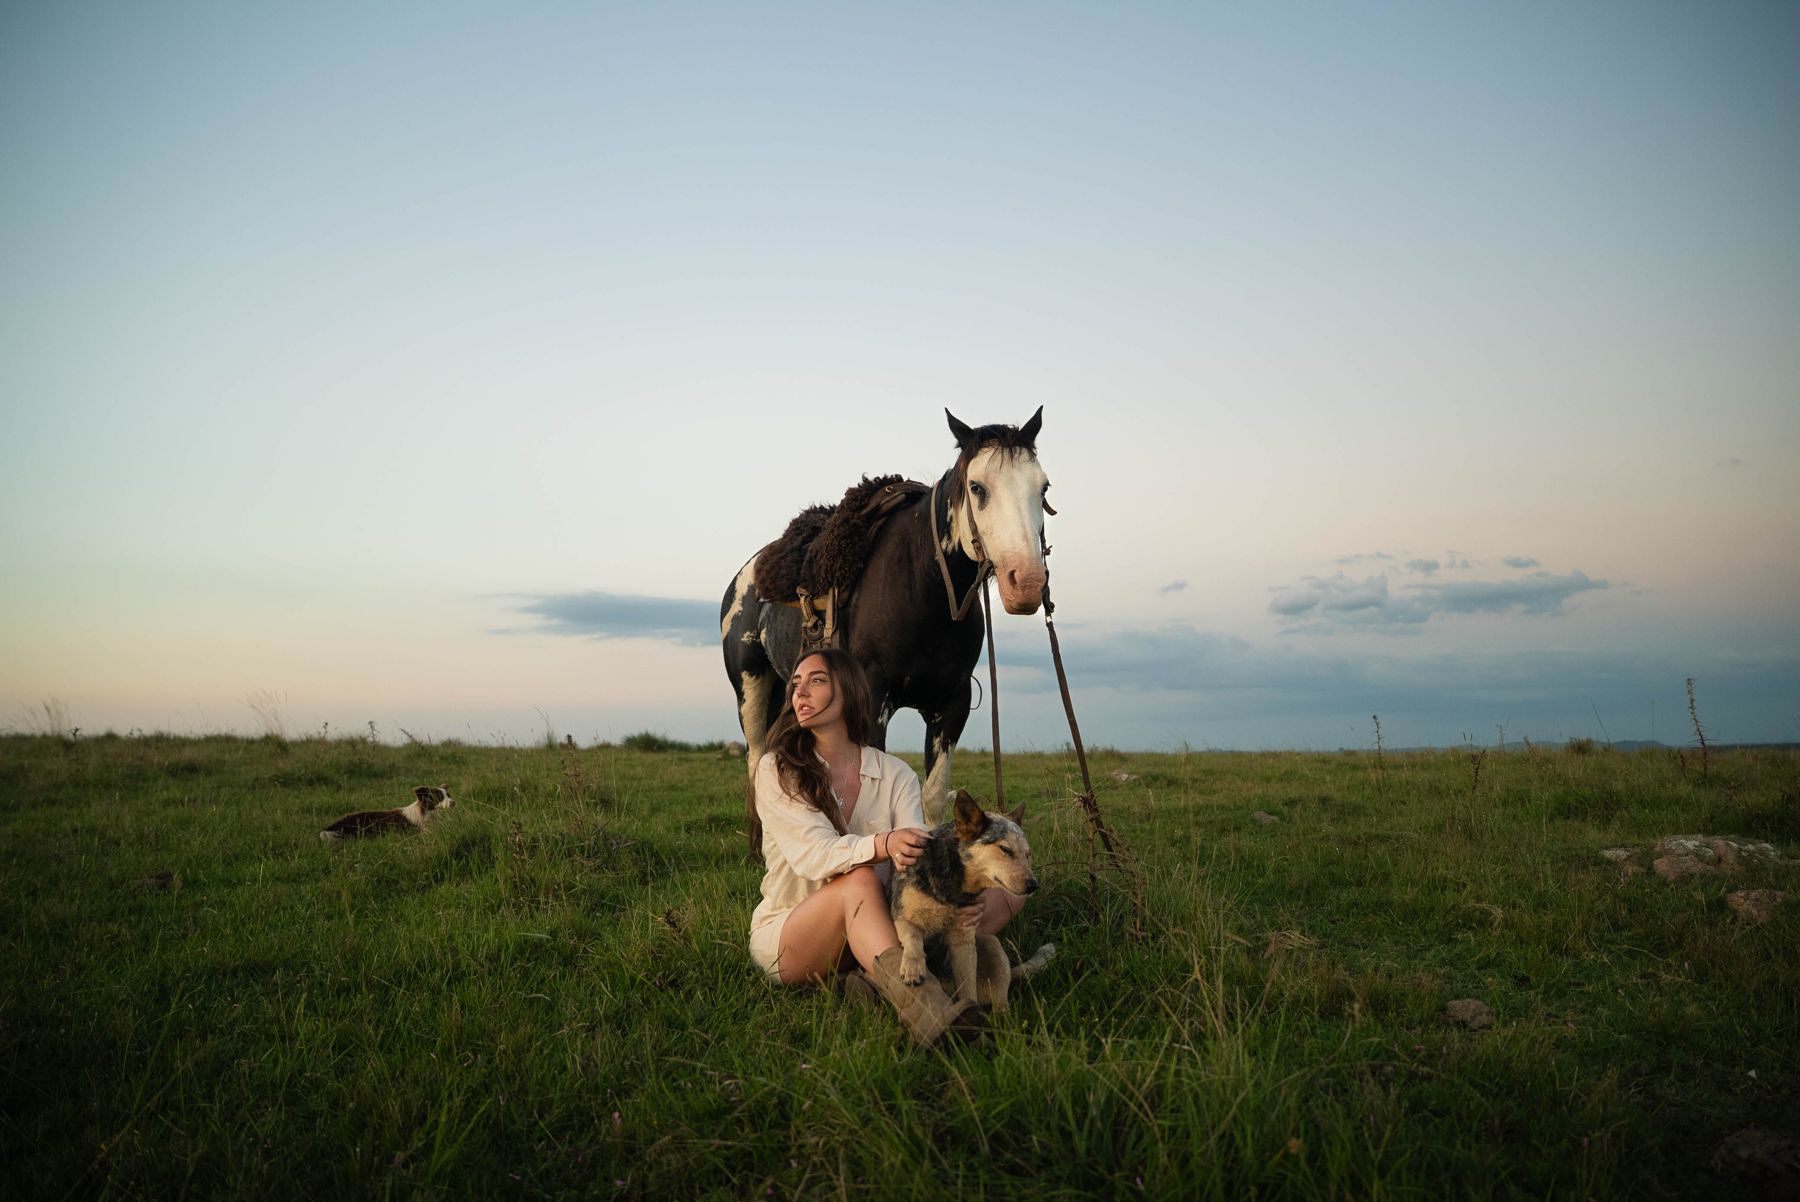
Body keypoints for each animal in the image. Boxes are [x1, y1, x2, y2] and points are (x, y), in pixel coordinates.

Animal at [720, 408, 1053, 820]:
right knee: (755, 759)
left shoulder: (952, 704)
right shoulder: (873, 701)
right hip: (750, 686)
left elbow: (933, 794)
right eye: (977, 487)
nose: (1027, 583)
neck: (922, 590)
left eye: (1043, 488)